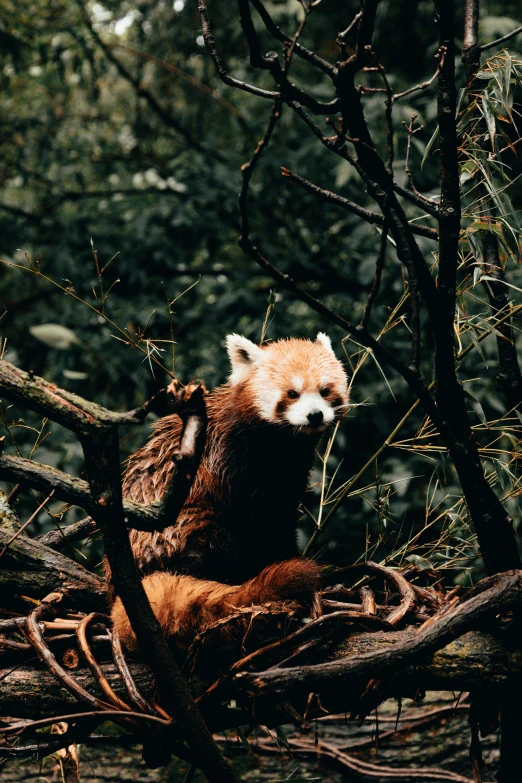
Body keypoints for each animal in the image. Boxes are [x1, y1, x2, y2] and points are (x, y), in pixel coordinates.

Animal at [111, 334, 348, 652]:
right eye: (292, 393)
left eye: (325, 390)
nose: (314, 415)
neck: (280, 443)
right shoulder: (231, 461)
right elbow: (259, 522)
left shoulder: (290, 475)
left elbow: (283, 515)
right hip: (180, 527)